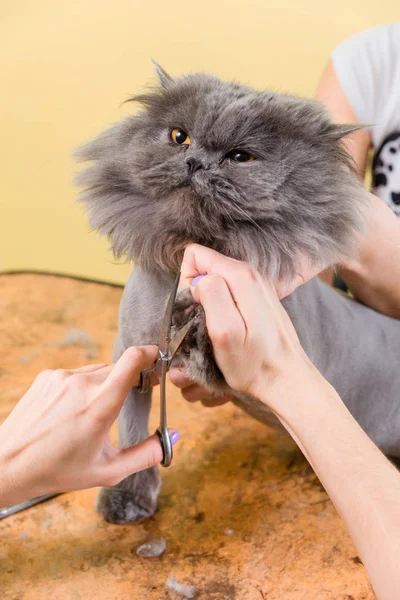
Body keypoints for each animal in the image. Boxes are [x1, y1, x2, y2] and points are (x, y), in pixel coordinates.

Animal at [75, 67, 400, 524]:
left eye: (240, 157)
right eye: (179, 137)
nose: (195, 161)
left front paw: (194, 318)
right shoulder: (131, 355)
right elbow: (133, 436)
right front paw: (126, 498)